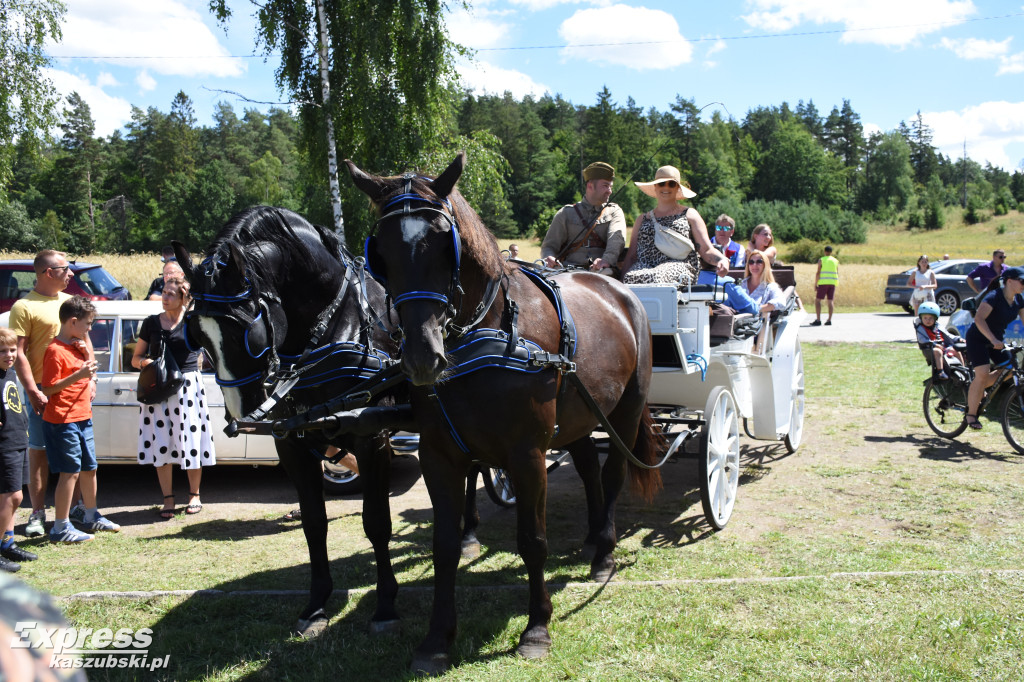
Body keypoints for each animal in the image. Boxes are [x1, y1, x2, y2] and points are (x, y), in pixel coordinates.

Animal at [169, 206, 405, 638]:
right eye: (196, 334)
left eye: (246, 330)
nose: (243, 413)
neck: (335, 324)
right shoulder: (293, 443)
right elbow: (314, 522)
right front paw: (316, 604)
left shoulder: (373, 438)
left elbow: (377, 522)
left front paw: (384, 606)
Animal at [348, 150, 659, 667]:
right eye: (381, 254)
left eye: (443, 243)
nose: (421, 356)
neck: (486, 332)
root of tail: (618, 291)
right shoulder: (439, 455)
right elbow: (445, 545)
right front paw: (437, 638)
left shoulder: (527, 454)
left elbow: (532, 541)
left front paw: (536, 628)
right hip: (579, 417)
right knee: (589, 471)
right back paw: (593, 537)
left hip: (625, 413)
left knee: (613, 474)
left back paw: (604, 554)